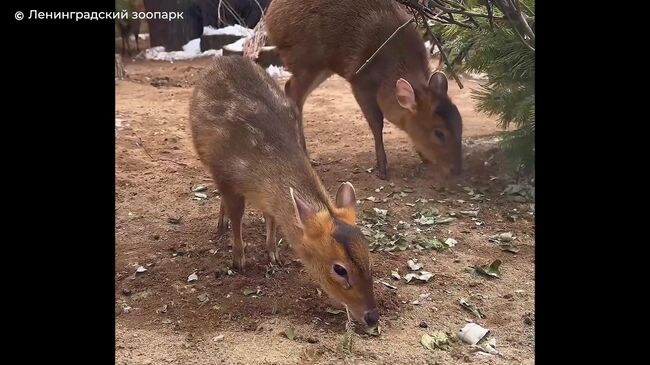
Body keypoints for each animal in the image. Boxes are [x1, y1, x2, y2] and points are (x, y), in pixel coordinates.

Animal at [190, 56, 378, 328]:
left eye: (369, 256)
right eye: (339, 269)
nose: (372, 316)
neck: (259, 173)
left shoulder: (268, 200)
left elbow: (271, 218)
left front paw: (273, 254)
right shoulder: (226, 175)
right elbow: (237, 216)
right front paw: (238, 259)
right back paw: (221, 225)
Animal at [264, 0, 460, 179]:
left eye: (460, 123)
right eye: (439, 133)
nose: (457, 169)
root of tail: (270, 18)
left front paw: (422, 156)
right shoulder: (360, 81)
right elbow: (377, 123)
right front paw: (382, 168)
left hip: (323, 66)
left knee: (293, 91)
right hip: (306, 58)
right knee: (293, 91)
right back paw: (304, 154)